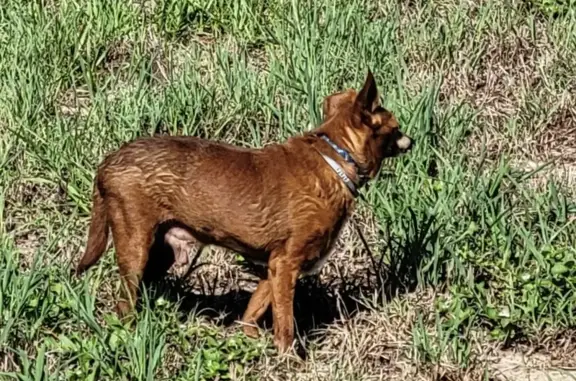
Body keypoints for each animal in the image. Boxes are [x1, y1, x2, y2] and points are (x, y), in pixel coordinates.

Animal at [75, 72, 410, 354]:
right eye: (396, 127)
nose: (412, 139)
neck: (336, 160)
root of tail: (109, 162)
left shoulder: (274, 267)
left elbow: (254, 310)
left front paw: (250, 340)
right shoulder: (287, 264)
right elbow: (285, 325)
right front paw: (290, 360)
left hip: (161, 252)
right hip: (136, 246)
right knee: (124, 305)